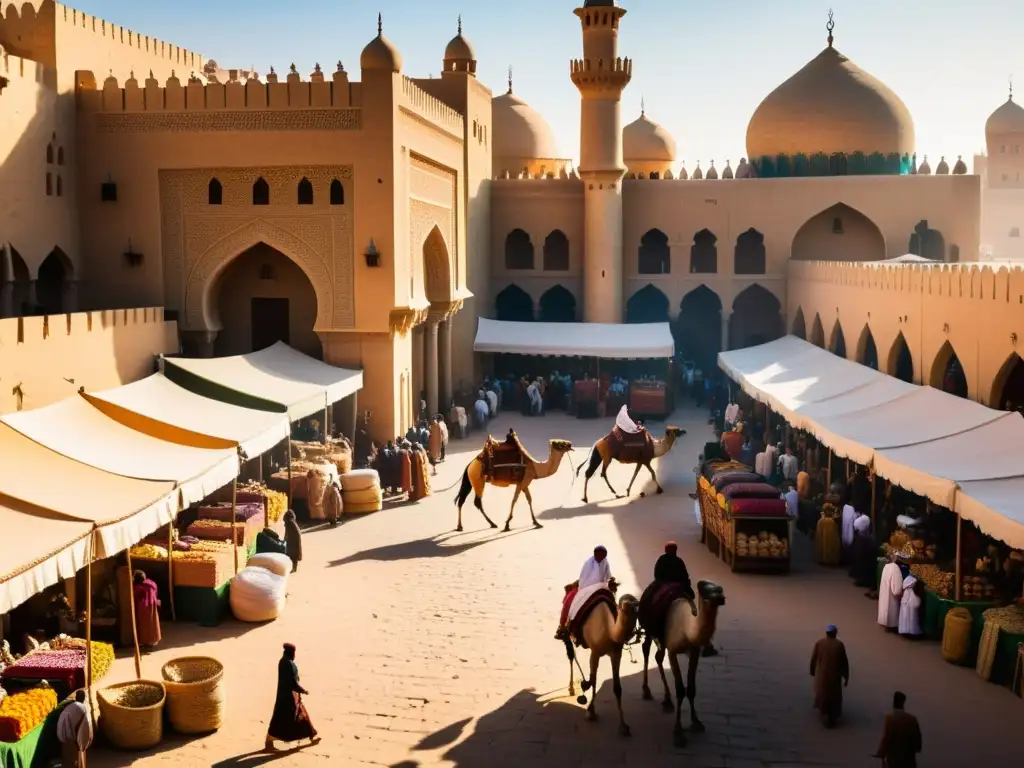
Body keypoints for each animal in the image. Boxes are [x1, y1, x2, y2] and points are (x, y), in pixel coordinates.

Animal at [638, 581, 729, 749]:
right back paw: (646, 690)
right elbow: (680, 689)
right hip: (650, 627)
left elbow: (691, 689)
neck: (687, 630)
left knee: (658, 656)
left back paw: (667, 700)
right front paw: (678, 732)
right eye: (705, 589)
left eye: (720, 589)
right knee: (646, 649)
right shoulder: (673, 651)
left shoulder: (694, 653)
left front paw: (696, 722)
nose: (721, 598)